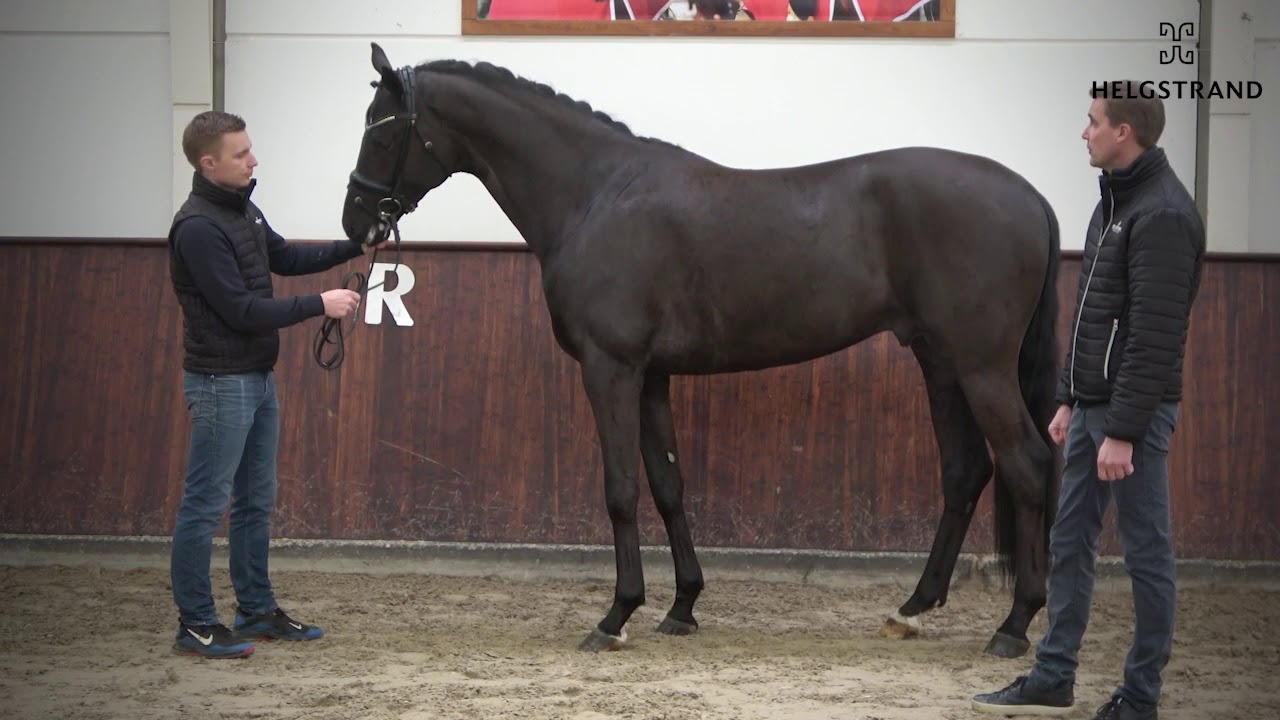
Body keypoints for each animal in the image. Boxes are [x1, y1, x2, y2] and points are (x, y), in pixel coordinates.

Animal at [341, 42, 1062, 658]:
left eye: (382, 130)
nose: (355, 223)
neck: (596, 194)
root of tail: (1032, 195)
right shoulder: (652, 376)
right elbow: (667, 485)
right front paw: (681, 606)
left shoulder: (611, 368)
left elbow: (621, 489)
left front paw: (616, 615)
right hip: (940, 362)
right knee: (965, 472)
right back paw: (912, 608)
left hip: (982, 367)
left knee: (1027, 465)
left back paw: (1015, 624)